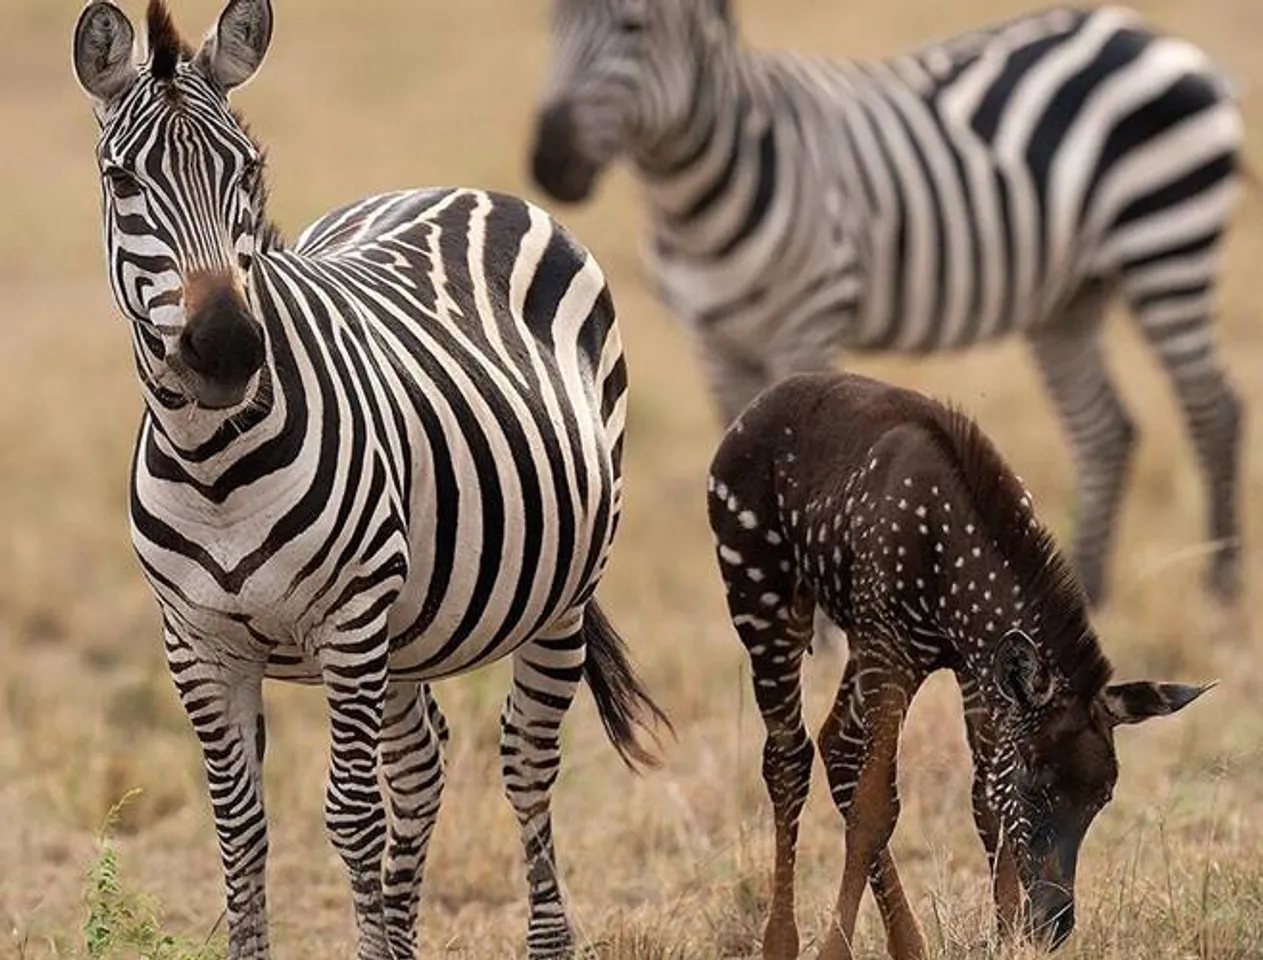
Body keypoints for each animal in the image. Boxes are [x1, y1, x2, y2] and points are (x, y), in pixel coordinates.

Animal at [71, 1, 671, 959]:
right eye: (123, 180)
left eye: (249, 169)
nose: (227, 349)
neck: (214, 466)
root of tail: (456, 189)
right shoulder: (196, 643)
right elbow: (238, 827)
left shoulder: (350, 622)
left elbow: (350, 818)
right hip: (409, 627)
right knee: (423, 761)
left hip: (560, 595)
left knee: (525, 764)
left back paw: (546, 936)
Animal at [530, 0, 1242, 611]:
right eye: (551, 22)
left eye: (633, 27)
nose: (549, 164)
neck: (692, 203)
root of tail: (1144, 33)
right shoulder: (713, 342)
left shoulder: (809, 321)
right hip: (1068, 298)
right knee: (1105, 430)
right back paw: (1089, 593)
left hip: (1167, 244)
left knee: (1213, 411)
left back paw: (1220, 586)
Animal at [712, 368, 1212, 959]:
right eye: (1034, 780)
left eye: (1104, 794)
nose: (1053, 923)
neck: (957, 577)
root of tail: (754, 409)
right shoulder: (893, 648)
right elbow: (876, 809)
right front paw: (835, 948)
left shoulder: (976, 673)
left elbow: (986, 802)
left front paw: (1004, 932)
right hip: (763, 600)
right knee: (789, 757)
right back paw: (781, 941)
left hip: (848, 635)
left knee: (837, 744)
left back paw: (909, 944)